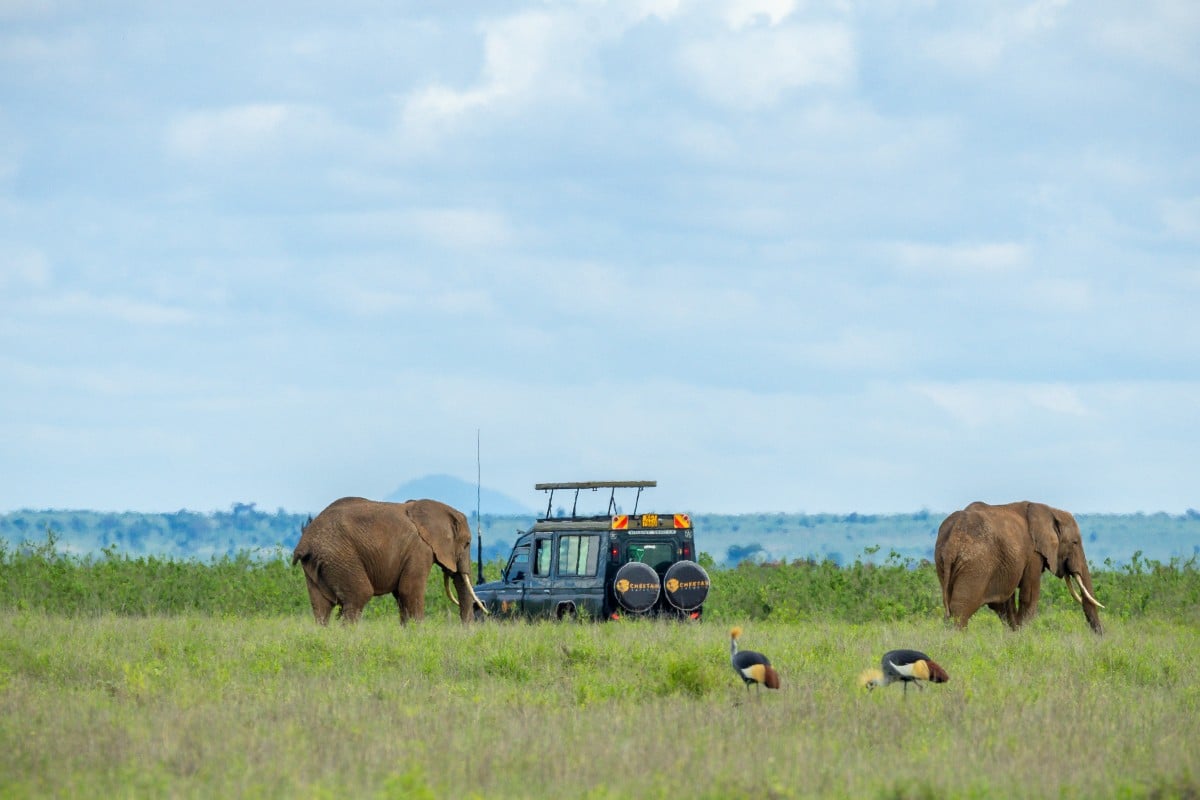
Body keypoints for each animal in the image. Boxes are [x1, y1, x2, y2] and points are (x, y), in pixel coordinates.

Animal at [291, 497, 489, 624]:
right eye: (467, 543)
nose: (466, 631)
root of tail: (304, 542)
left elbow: (401, 595)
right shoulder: (419, 550)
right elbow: (409, 590)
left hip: (318, 563)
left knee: (321, 607)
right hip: (340, 556)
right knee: (358, 597)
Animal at [934, 501, 1104, 634]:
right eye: (1075, 543)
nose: (1100, 637)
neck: (1051, 511)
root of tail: (952, 538)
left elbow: (1006, 603)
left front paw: (1014, 635)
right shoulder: (1034, 554)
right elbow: (1029, 597)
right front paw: (1023, 636)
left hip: (943, 561)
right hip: (976, 564)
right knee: (962, 607)